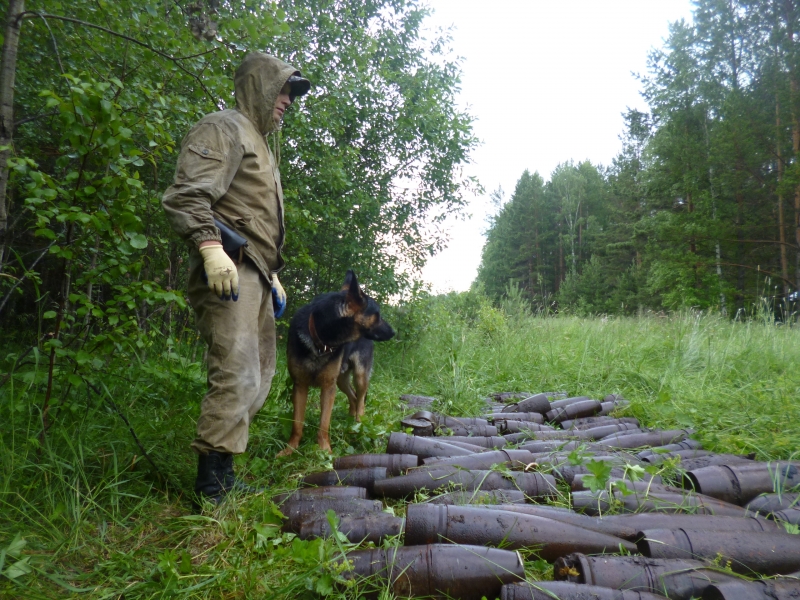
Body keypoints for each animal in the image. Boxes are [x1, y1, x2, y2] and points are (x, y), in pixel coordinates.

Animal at [276, 272, 396, 454]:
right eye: (378, 314)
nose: (393, 332)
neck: (320, 338)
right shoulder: (300, 386)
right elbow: (297, 424)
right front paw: (290, 450)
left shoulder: (328, 387)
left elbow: (324, 424)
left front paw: (325, 451)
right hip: (341, 380)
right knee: (353, 397)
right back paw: (351, 421)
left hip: (359, 377)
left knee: (361, 401)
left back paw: (359, 424)